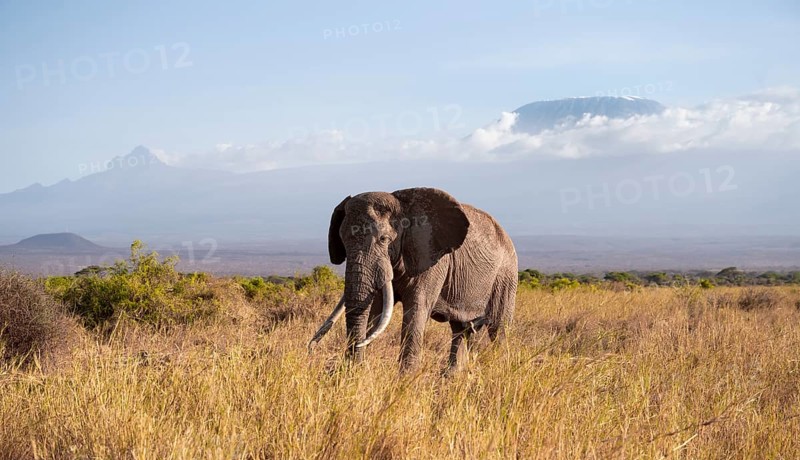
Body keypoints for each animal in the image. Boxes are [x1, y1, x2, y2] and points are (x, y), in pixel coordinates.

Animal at [309, 187, 517, 373]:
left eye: (383, 239)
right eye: (342, 240)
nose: (310, 347)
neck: (401, 205)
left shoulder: (432, 257)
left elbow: (416, 309)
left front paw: (405, 380)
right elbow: (376, 308)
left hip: (506, 275)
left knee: (498, 328)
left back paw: (500, 370)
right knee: (460, 329)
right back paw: (451, 377)